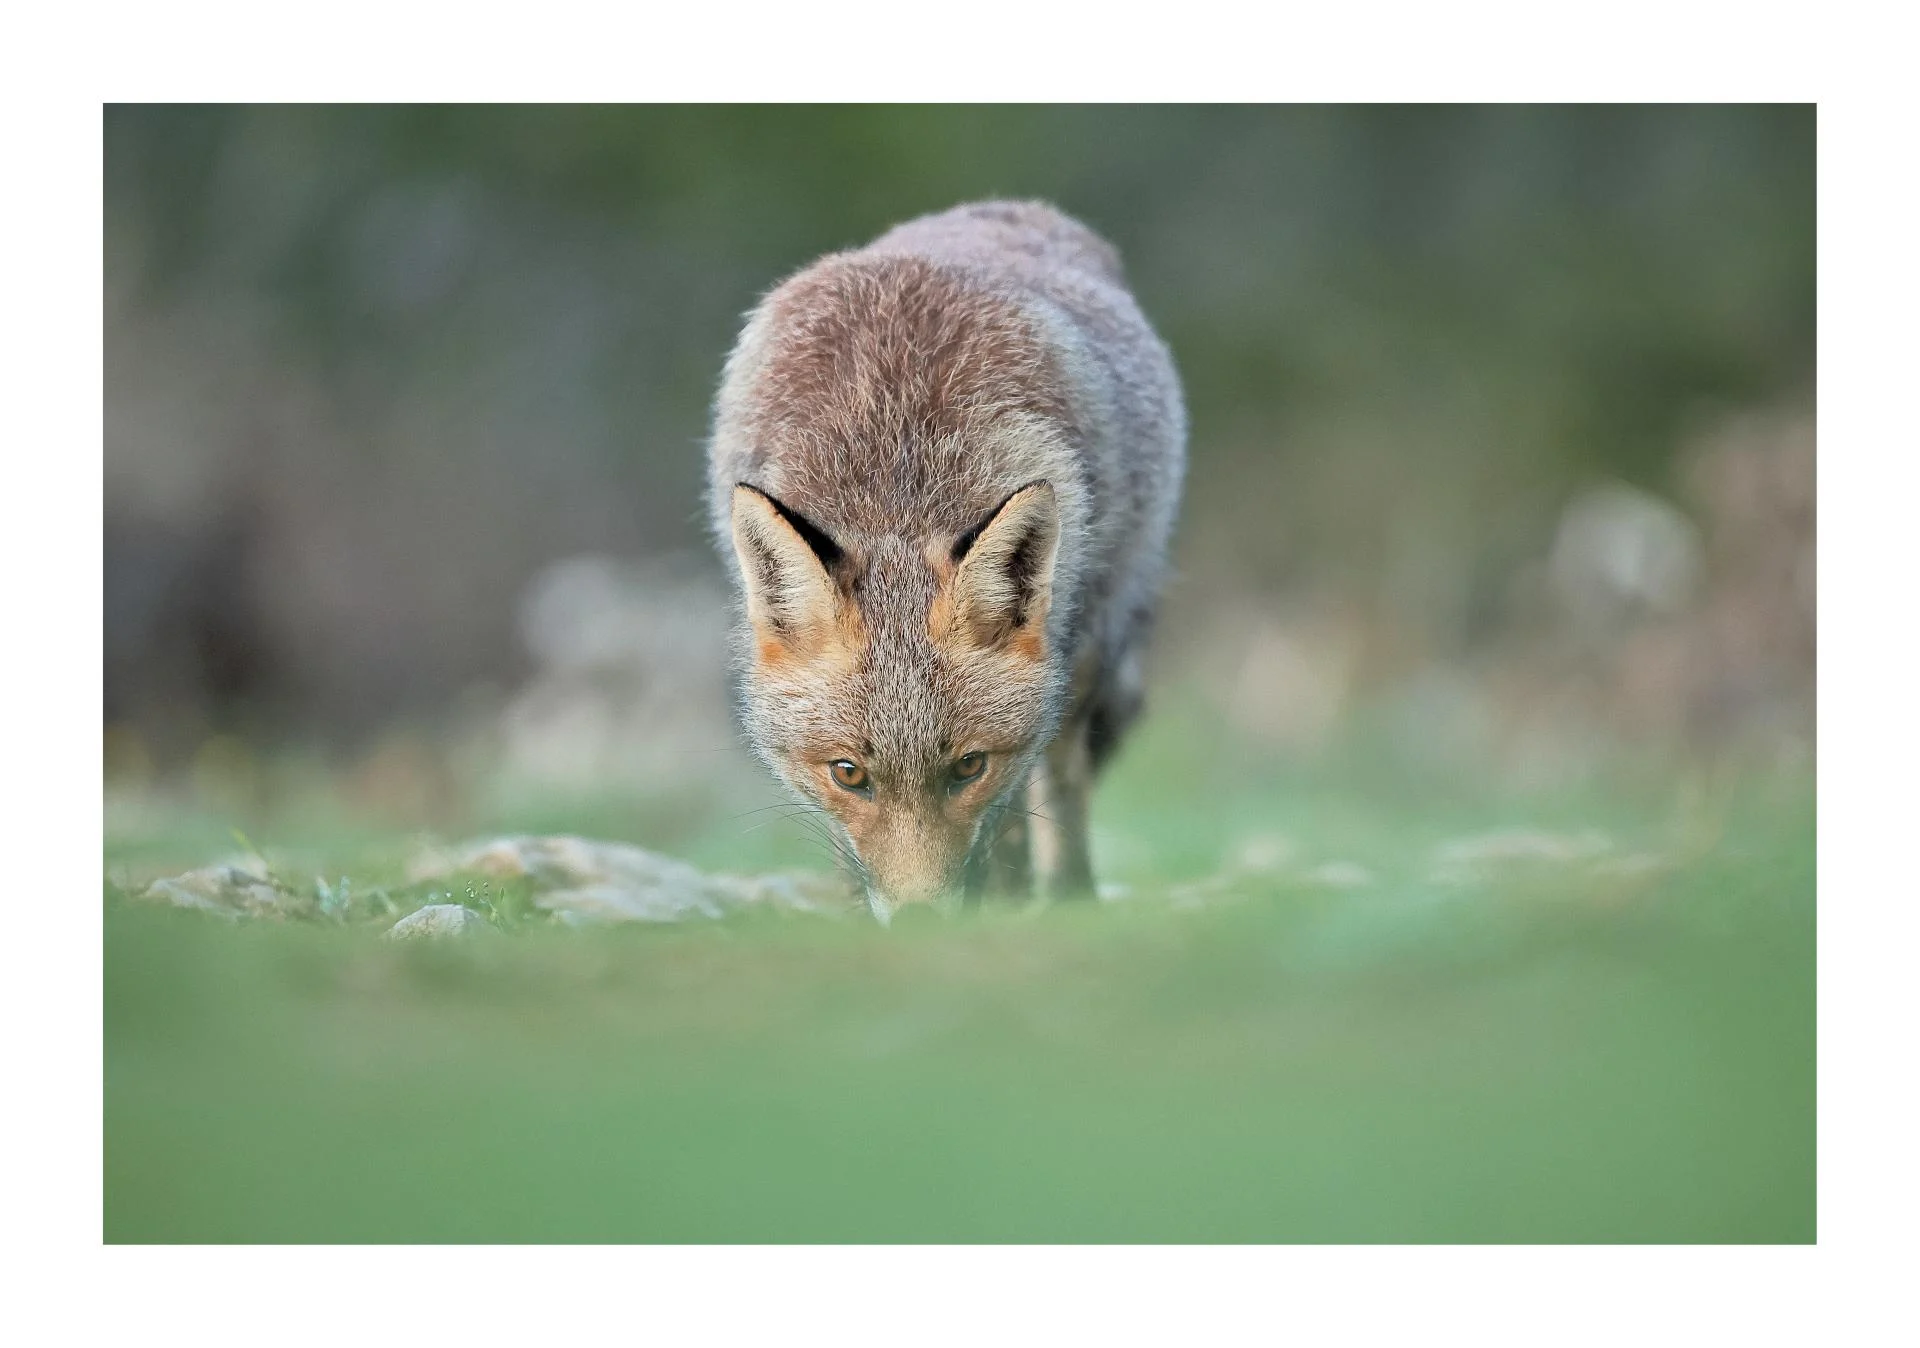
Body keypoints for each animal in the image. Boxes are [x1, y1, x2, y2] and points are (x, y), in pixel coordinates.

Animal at [707, 200, 1186, 920]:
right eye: (849, 774)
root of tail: (1009, 206)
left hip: (1095, 630)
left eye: (968, 767)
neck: (893, 466)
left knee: (1064, 778)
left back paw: (1068, 897)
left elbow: (1011, 815)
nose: (920, 922)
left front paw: (1002, 904)